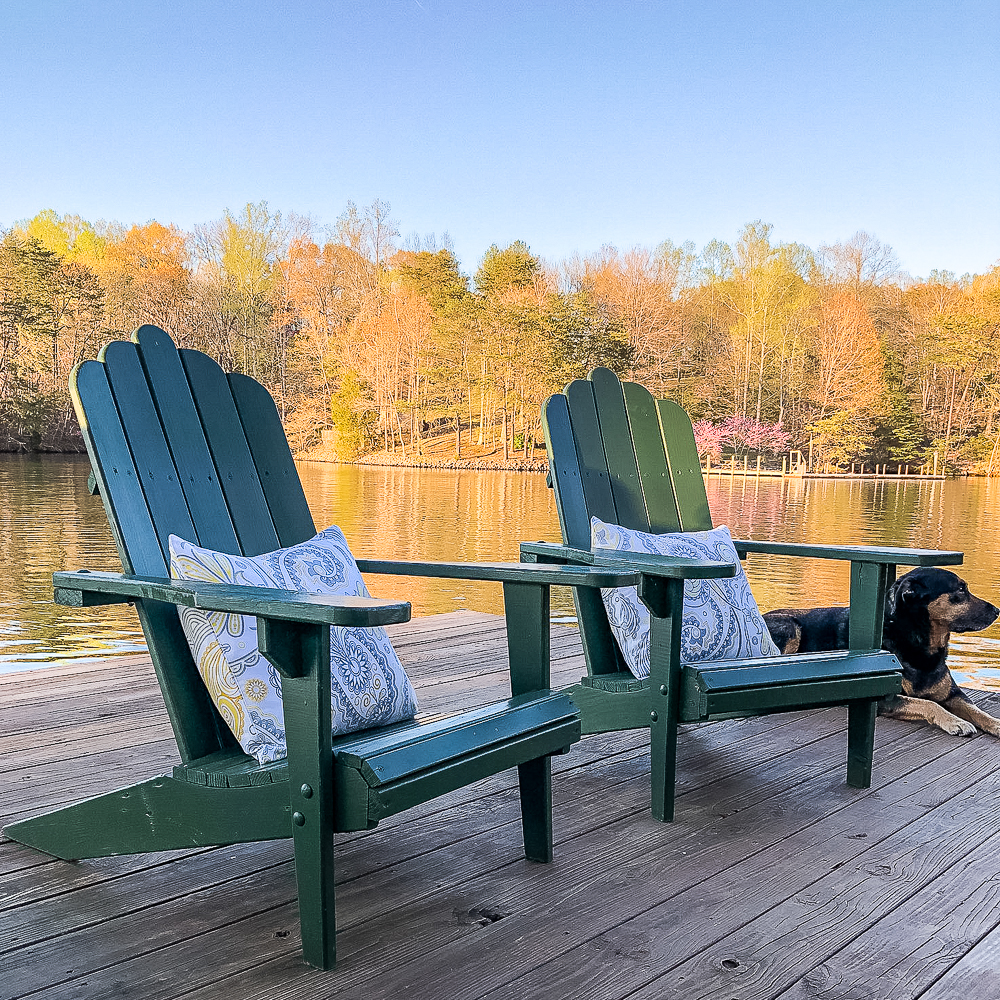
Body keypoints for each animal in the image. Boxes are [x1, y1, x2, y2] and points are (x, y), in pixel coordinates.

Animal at [760, 568, 996, 740]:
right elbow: (929, 703)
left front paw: (996, 724)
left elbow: (977, 710)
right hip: (790, 627)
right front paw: (956, 721)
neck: (916, 642)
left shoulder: (953, 694)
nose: (997, 611)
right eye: (961, 590)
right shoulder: (885, 698)